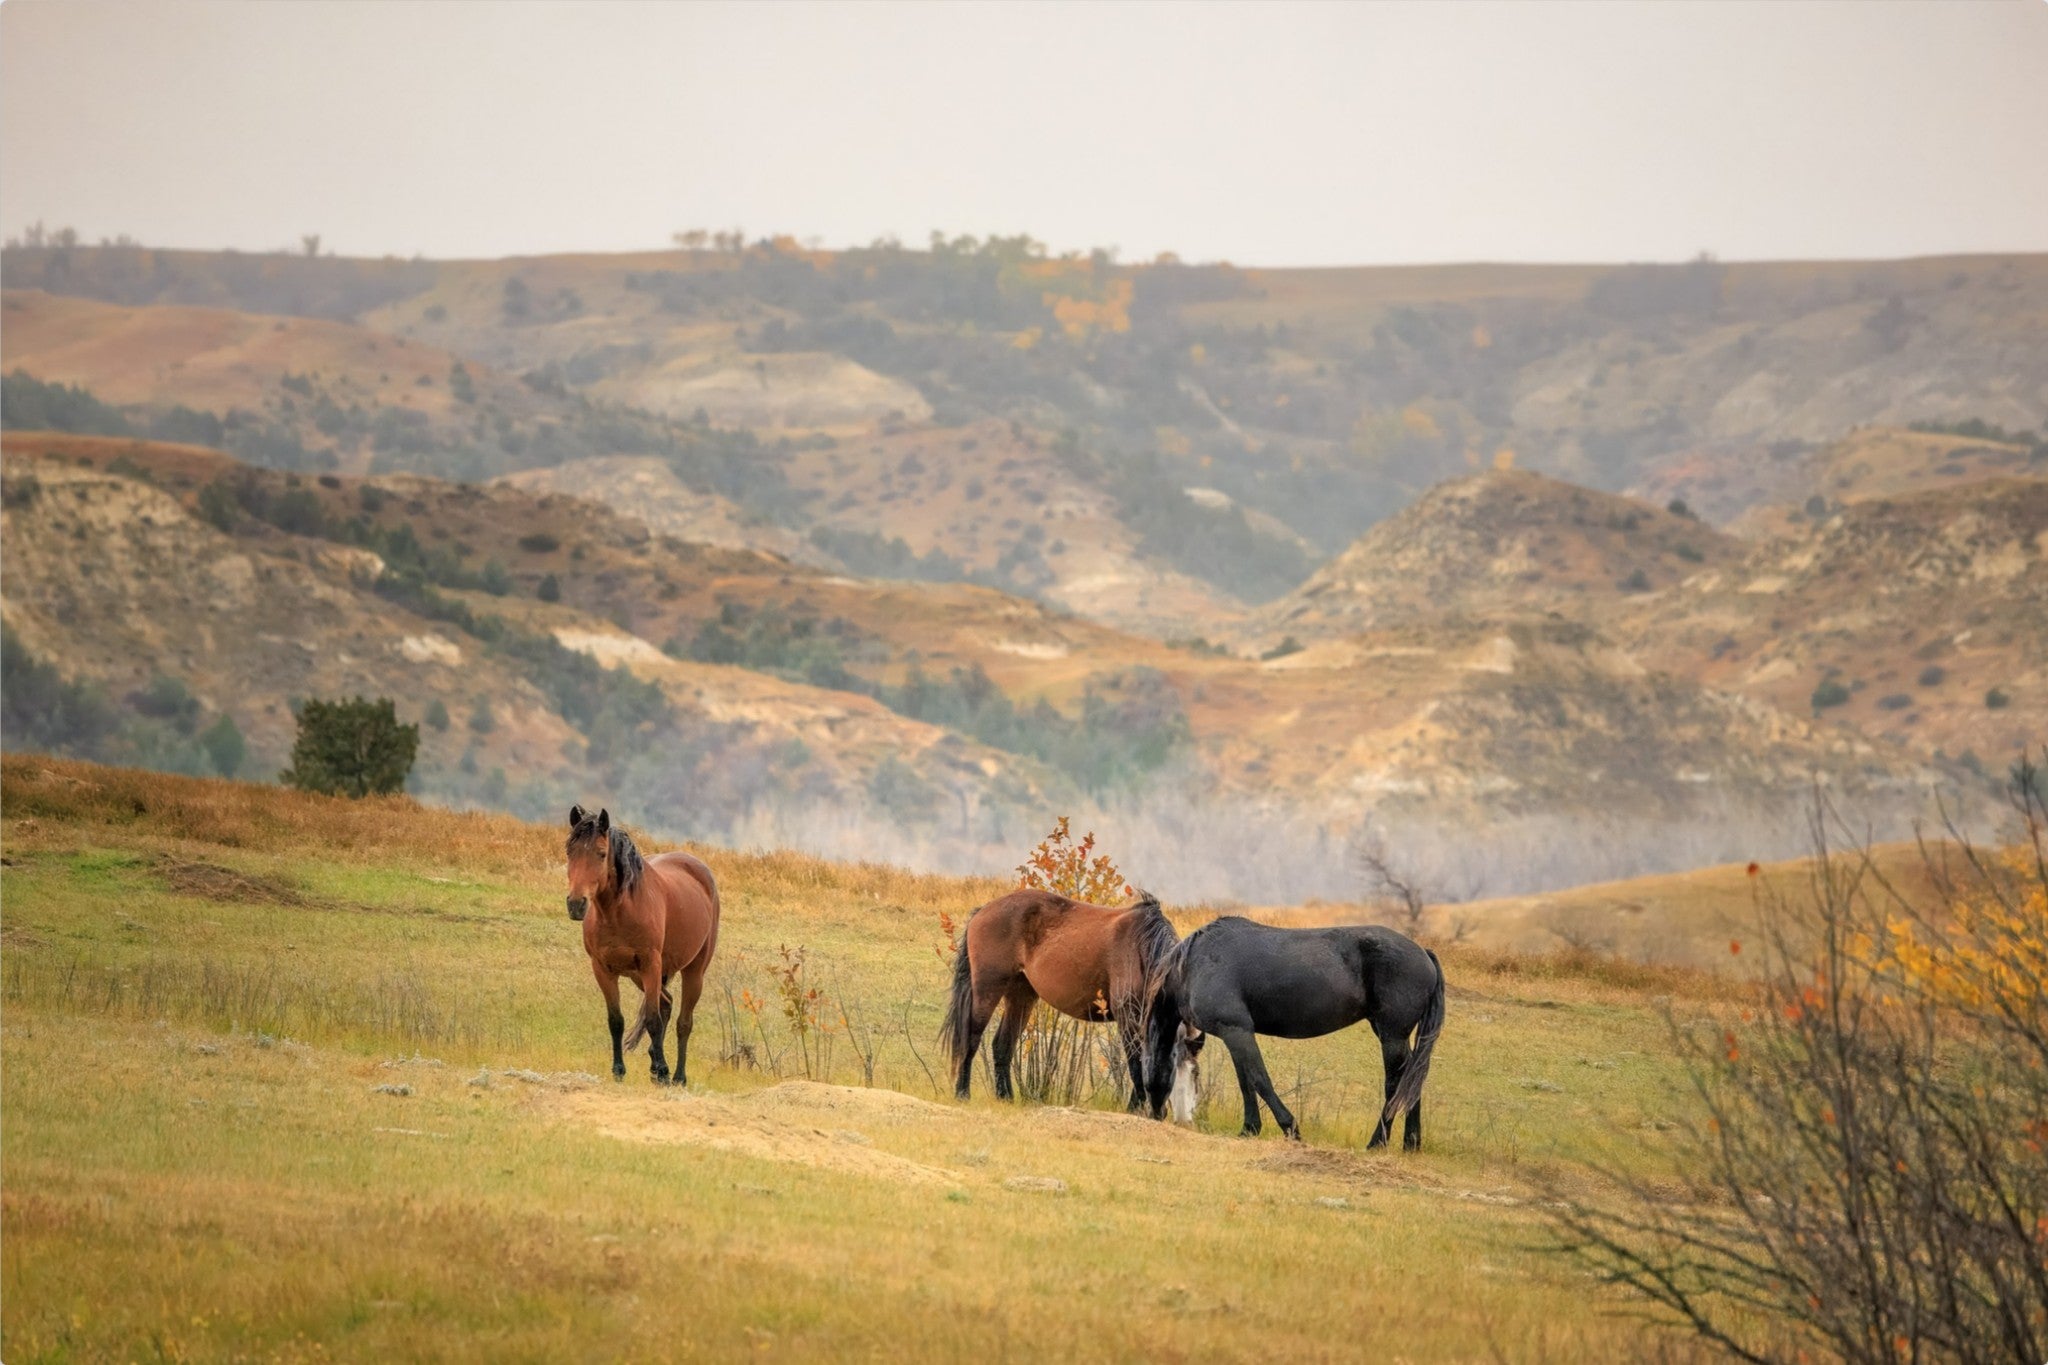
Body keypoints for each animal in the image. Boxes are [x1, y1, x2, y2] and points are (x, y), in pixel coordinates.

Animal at [563, 805, 720, 1086]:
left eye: (601, 854)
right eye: (570, 851)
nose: (576, 904)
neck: (618, 912)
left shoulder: (651, 965)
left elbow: (652, 1020)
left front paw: (663, 1070)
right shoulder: (602, 970)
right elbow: (616, 1021)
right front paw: (619, 1070)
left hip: (693, 971)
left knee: (683, 1022)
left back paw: (677, 1076)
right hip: (639, 976)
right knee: (666, 1003)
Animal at [942, 887, 1192, 1112]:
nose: (1160, 1112)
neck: (1141, 948)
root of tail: (983, 911)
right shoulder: (1127, 1016)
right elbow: (1135, 1063)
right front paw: (1134, 1109)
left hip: (1021, 995)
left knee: (1002, 1045)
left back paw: (1006, 1097)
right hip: (988, 988)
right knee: (971, 1038)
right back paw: (962, 1093)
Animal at [1144, 917, 1444, 1148]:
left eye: (1145, 1075)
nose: (1157, 1114)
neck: (1194, 965)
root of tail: (1424, 953)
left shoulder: (1238, 1031)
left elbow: (1260, 1080)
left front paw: (1290, 1128)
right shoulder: (1233, 1035)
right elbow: (1246, 1082)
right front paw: (1249, 1129)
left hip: (1392, 1036)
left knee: (1395, 1084)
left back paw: (1377, 1142)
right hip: (1395, 1036)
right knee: (1411, 1080)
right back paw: (1410, 1143)